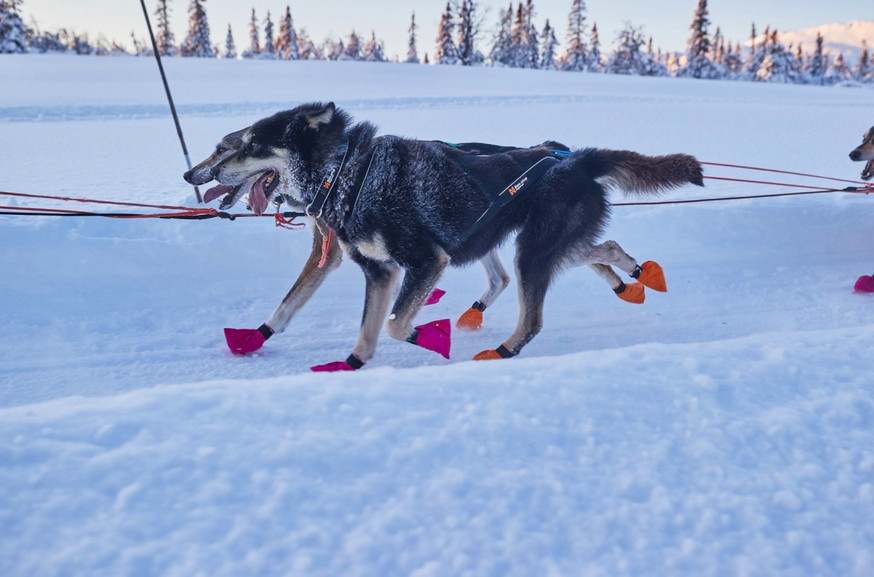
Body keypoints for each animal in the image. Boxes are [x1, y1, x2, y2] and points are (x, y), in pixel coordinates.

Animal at [186, 102, 700, 372]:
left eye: (246, 147)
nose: (193, 174)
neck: (347, 173)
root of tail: (574, 158)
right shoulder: (379, 269)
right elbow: (369, 329)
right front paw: (349, 363)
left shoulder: (425, 260)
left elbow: (395, 324)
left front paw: (431, 335)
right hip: (543, 245)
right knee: (600, 249)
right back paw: (634, 276)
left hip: (532, 251)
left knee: (533, 316)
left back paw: (503, 349)